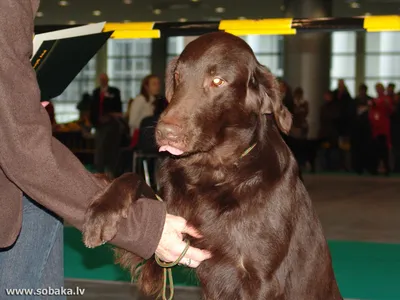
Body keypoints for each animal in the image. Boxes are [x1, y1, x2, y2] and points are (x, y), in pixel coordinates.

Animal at [83, 32, 342, 300]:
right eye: (178, 76)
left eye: (217, 81)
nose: (165, 133)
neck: (214, 172)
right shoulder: (161, 246)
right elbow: (132, 179)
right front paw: (102, 209)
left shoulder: (262, 279)